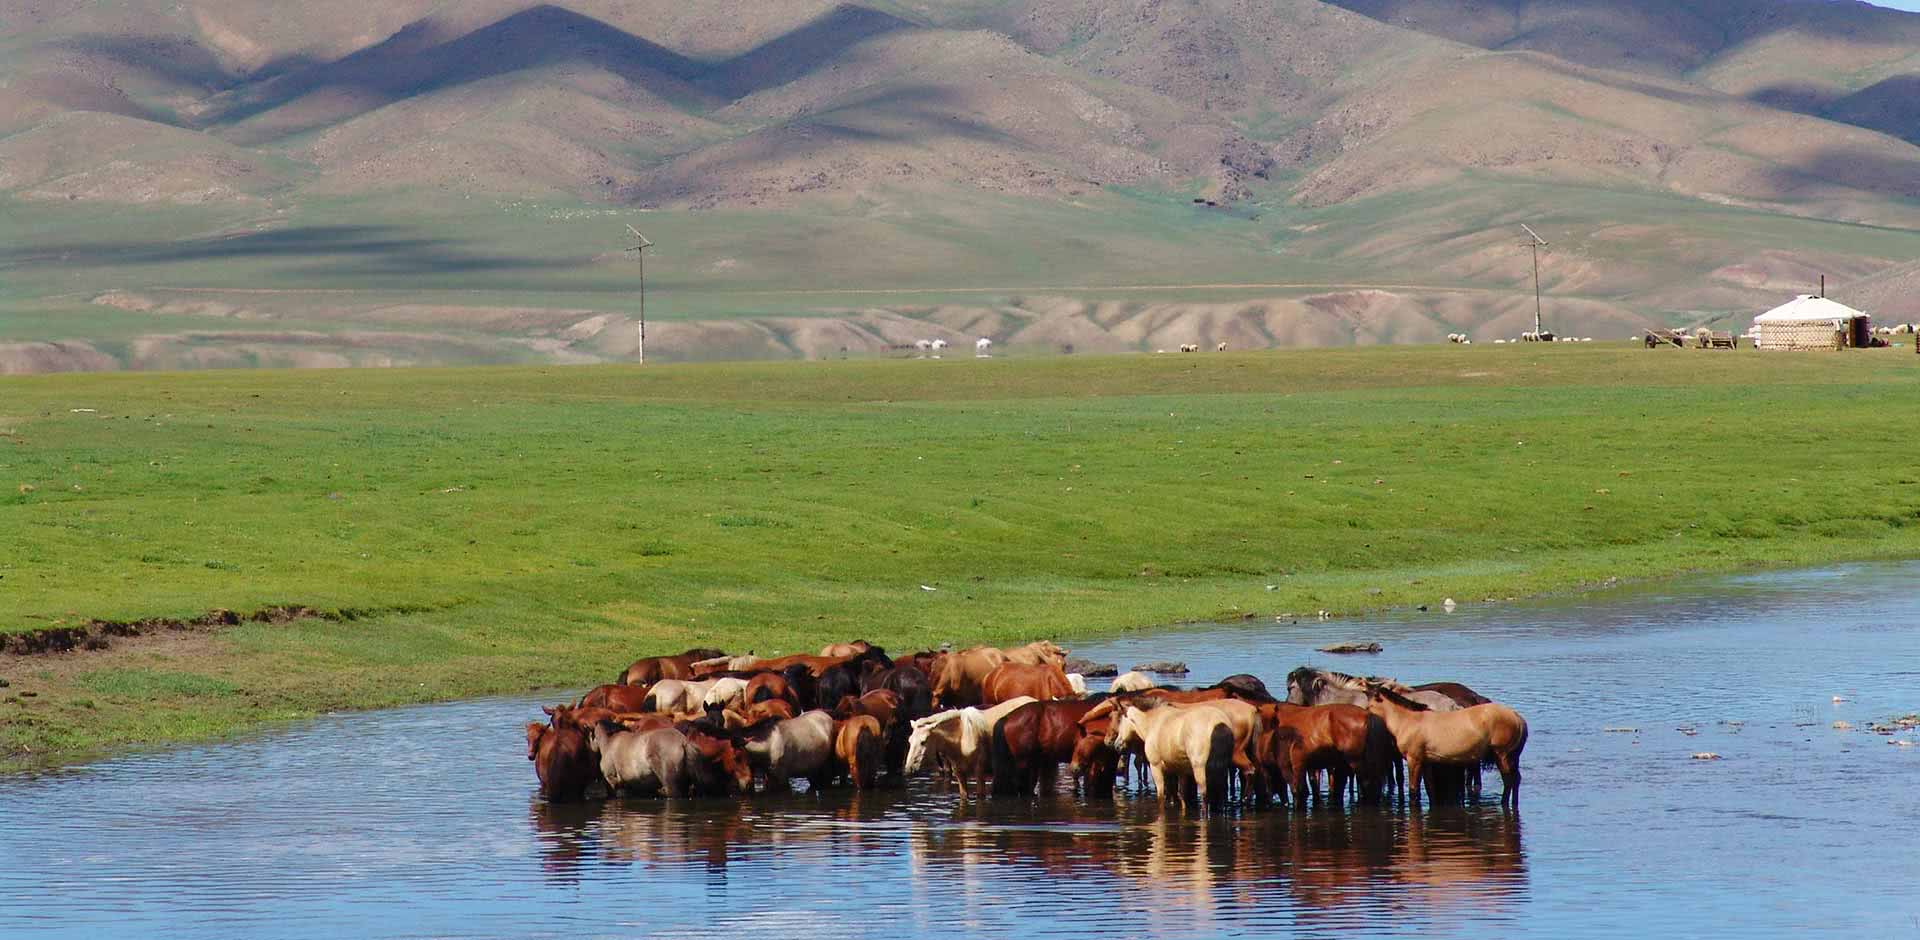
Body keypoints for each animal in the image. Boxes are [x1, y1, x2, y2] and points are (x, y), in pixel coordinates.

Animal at [1105, 709, 1236, 813]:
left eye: (1120, 722)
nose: (1116, 745)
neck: (1150, 725)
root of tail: (1220, 725)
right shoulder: (1180, 770)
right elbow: (1181, 795)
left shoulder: (1155, 766)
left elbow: (1161, 796)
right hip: (1221, 767)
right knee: (1221, 793)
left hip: (1199, 768)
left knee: (1204, 795)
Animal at [1367, 682, 1528, 809]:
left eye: (1369, 705)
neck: (1409, 720)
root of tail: (1518, 718)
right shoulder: (1426, 762)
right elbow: (1430, 788)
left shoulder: (1414, 760)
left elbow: (1414, 790)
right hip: (1512, 757)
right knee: (1516, 779)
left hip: (1502, 755)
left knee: (1509, 780)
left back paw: (1504, 803)